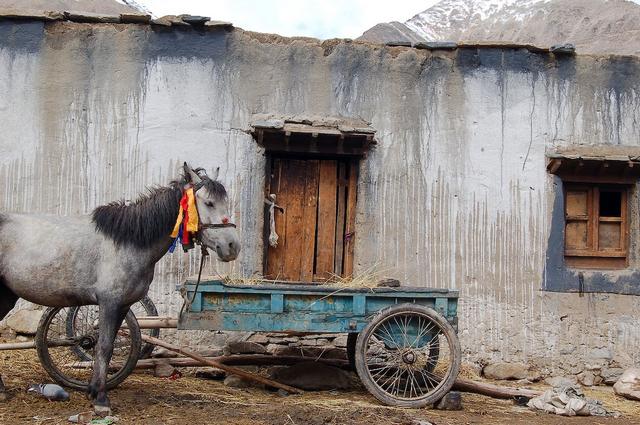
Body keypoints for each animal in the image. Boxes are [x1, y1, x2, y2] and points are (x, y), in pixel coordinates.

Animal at [0, 164, 241, 412]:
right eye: (209, 203)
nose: (232, 246)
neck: (129, 242)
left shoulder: (123, 306)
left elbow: (106, 347)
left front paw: (93, 391)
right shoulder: (109, 303)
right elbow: (104, 347)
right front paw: (101, 399)